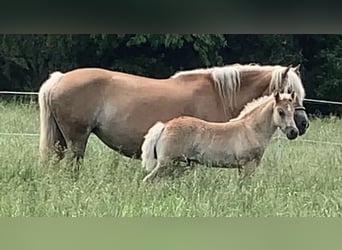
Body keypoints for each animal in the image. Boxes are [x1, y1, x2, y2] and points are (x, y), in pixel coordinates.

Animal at [38, 63, 308, 162]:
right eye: (289, 93)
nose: (303, 125)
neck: (219, 93)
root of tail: (59, 78)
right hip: (76, 139)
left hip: (62, 139)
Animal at [140, 91, 298, 182]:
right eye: (281, 112)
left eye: (293, 111)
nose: (293, 132)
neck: (251, 129)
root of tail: (165, 126)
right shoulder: (247, 165)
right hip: (166, 164)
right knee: (147, 180)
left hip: (175, 166)